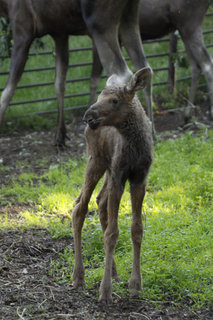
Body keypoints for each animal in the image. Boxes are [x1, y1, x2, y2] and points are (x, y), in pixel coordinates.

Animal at [0, 0, 151, 145]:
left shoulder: (22, 29)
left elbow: (7, 92)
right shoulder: (60, 33)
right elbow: (59, 84)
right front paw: (60, 135)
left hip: (99, 22)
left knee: (121, 72)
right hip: (129, 17)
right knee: (144, 67)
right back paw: (150, 130)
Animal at [71, 67, 153, 302]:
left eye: (115, 100)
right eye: (100, 97)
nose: (88, 116)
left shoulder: (138, 178)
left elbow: (136, 228)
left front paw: (136, 285)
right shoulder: (119, 175)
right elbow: (112, 233)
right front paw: (105, 291)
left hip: (108, 167)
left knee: (99, 202)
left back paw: (115, 273)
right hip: (95, 161)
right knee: (80, 207)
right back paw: (79, 276)